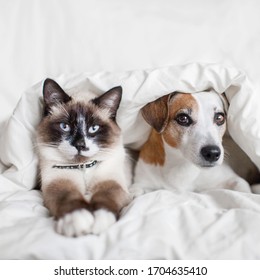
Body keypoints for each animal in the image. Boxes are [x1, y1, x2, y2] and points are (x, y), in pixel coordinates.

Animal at [35, 78, 131, 236]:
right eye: (65, 126)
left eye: (94, 128)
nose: (80, 145)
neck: (83, 166)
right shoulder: (60, 182)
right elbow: (69, 198)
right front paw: (77, 220)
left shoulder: (110, 182)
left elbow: (105, 199)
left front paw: (99, 221)